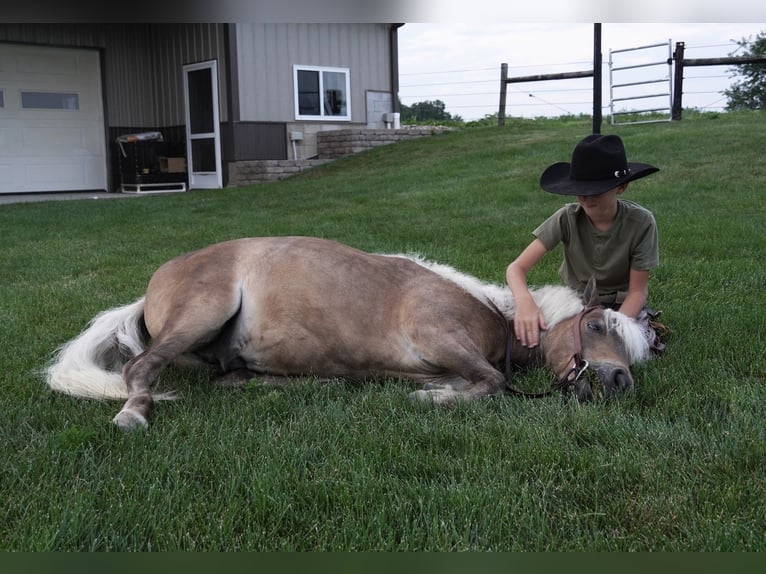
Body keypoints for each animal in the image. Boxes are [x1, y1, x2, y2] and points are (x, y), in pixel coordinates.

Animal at [45, 236, 653, 430]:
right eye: (595, 324)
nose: (619, 381)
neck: (488, 315)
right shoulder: (438, 336)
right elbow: (491, 383)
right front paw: (433, 398)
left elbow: (475, 382)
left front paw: (436, 392)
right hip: (201, 313)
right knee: (139, 368)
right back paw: (133, 413)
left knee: (231, 379)